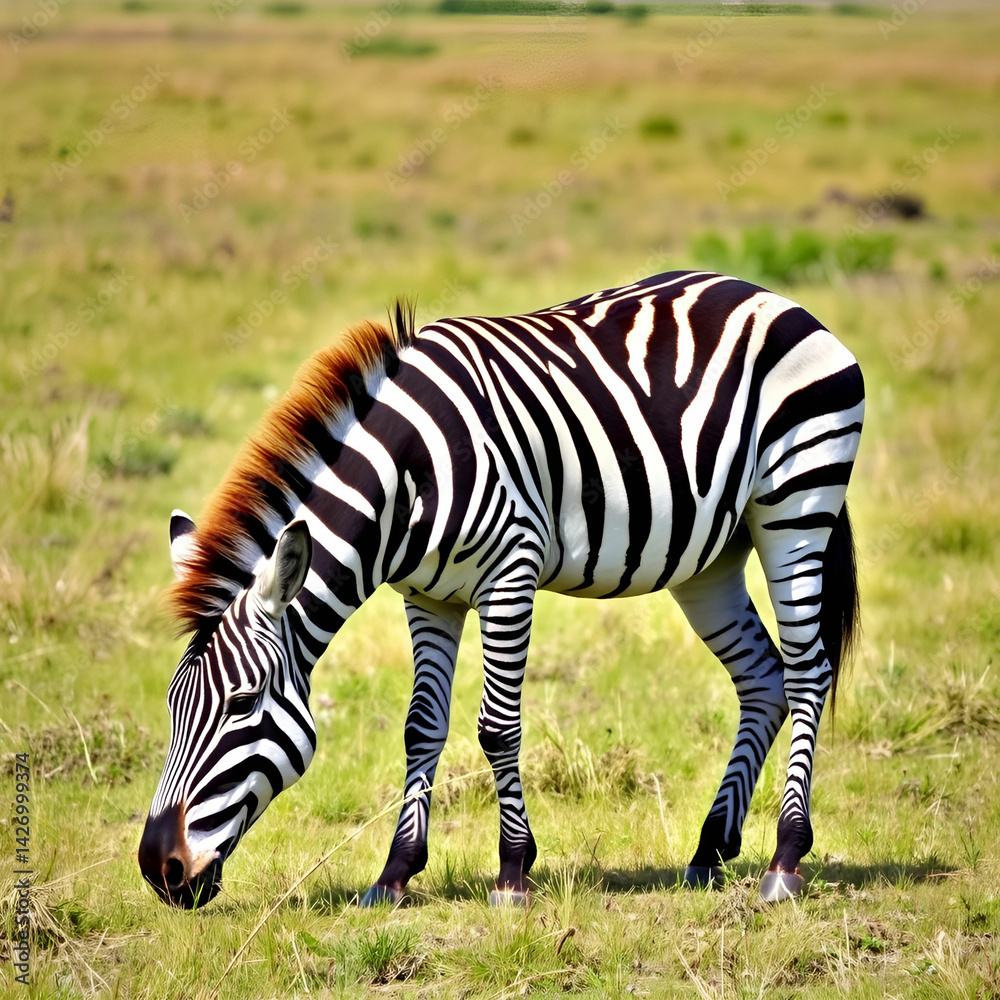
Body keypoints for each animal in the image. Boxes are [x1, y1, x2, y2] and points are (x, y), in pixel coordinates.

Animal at [138, 270, 863, 909]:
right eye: (170, 708)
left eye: (242, 704)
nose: (159, 869)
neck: (407, 477)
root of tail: (774, 298)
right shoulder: (427, 596)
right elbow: (421, 727)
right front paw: (395, 873)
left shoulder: (511, 571)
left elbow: (497, 727)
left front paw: (513, 871)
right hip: (709, 559)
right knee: (763, 678)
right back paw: (710, 849)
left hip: (795, 503)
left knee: (807, 671)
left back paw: (785, 859)